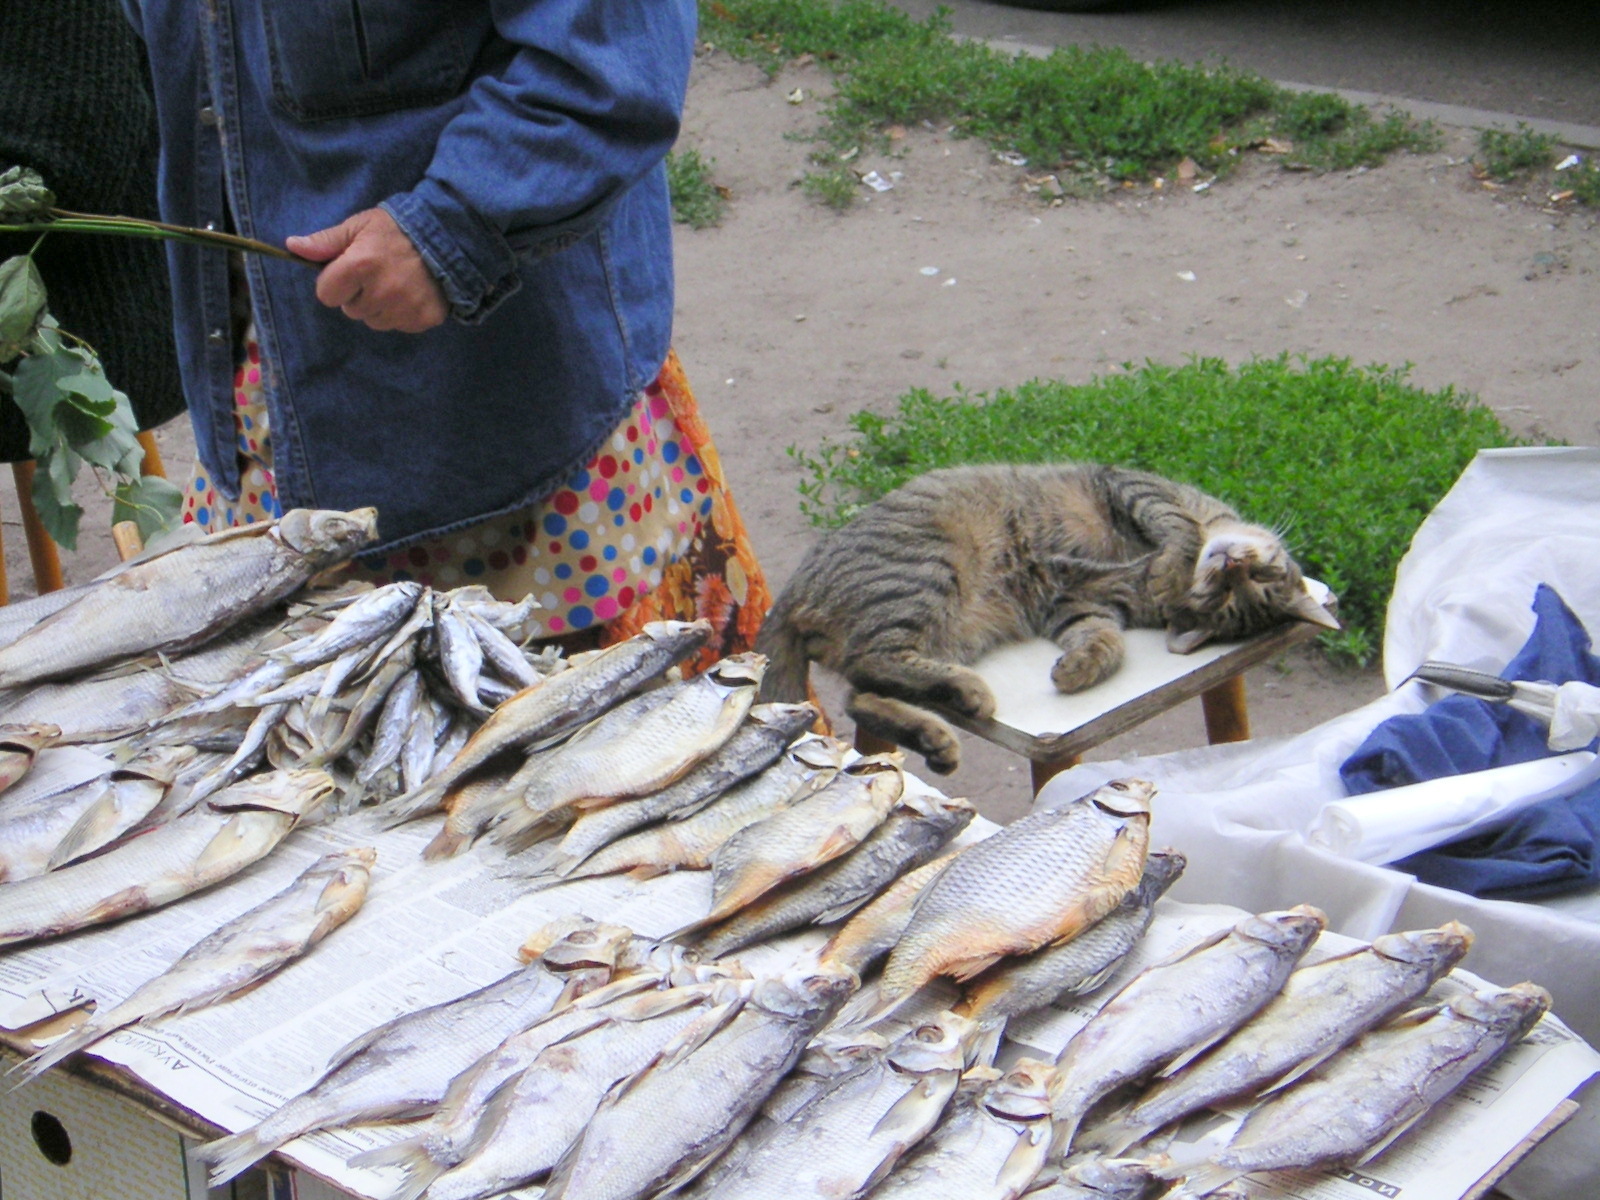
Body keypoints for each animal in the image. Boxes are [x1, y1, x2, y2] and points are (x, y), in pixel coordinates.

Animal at [755, 460, 1331, 780]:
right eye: (1253, 576)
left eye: (1238, 592)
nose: (1230, 563)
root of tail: (791, 594)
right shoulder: (1131, 486)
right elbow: (1178, 528)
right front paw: (1173, 562)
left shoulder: (1078, 605)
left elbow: (1106, 643)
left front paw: (1078, 668)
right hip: (928, 573)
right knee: (872, 666)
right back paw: (964, 696)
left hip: (938, 622)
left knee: (863, 690)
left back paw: (939, 730)